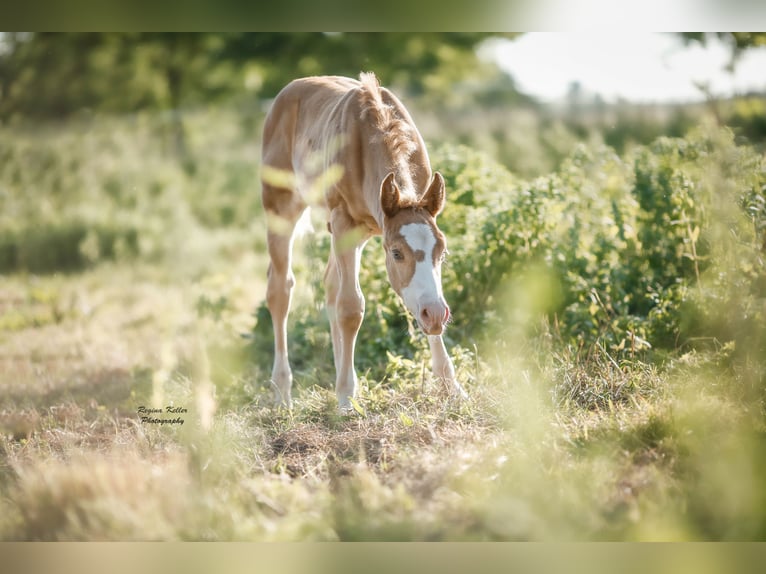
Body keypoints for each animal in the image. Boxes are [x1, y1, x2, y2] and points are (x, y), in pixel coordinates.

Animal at [260, 72, 468, 412]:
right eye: (396, 253)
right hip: (281, 207)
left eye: (443, 252)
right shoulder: (345, 223)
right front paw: (346, 397)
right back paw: (282, 393)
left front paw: (452, 387)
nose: (436, 314)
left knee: (330, 285)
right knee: (281, 289)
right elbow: (351, 307)